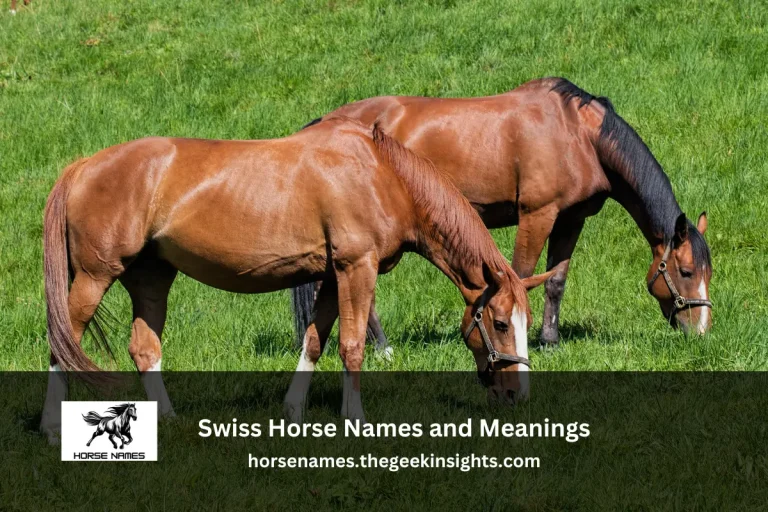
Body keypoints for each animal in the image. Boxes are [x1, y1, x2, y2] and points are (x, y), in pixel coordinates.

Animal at [39, 119, 554, 442]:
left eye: (523, 323)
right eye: (500, 323)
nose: (518, 395)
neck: (381, 175)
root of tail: (83, 166)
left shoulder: (329, 275)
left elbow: (314, 342)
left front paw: (292, 412)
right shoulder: (355, 268)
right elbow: (351, 345)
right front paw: (355, 420)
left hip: (152, 278)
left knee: (144, 349)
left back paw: (167, 419)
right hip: (94, 278)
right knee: (62, 343)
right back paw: (50, 428)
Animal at [292, 77, 713, 353]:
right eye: (686, 271)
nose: (702, 332)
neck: (578, 134)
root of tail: (326, 122)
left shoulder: (570, 219)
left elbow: (556, 280)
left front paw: (550, 341)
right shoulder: (537, 215)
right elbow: (522, 273)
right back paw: (383, 348)